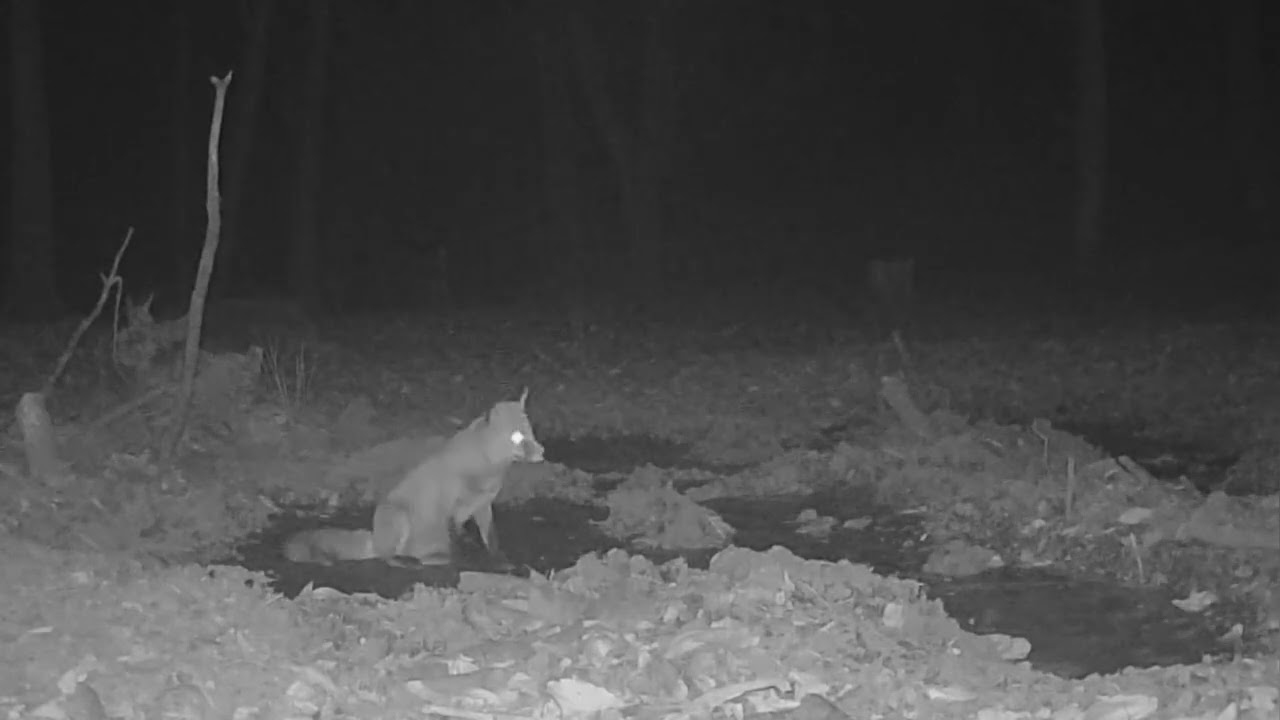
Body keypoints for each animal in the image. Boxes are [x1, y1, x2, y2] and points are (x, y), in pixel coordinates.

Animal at [281, 389, 544, 567]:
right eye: (516, 437)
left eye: (530, 431)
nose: (542, 452)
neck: (486, 470)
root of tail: (374, 538)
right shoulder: (450, 508)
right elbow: (456, 543)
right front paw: (464, 562)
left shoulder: (482, 506)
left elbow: (491, 540)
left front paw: (500, 561)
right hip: (399, 517)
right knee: (386, 558)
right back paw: (410, 561)